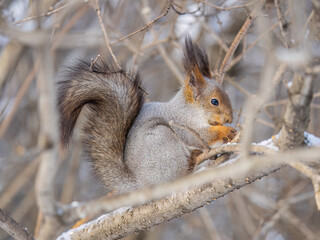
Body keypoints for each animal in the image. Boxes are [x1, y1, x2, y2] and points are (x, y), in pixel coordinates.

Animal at [58, 37, 238, 193]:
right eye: (214, 101)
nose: (230, 119)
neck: (190, 109)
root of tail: (140, 182)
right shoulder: (181, 121)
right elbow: (198, 136)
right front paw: (226, 131)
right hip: (163, 142)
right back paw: (192, 161)